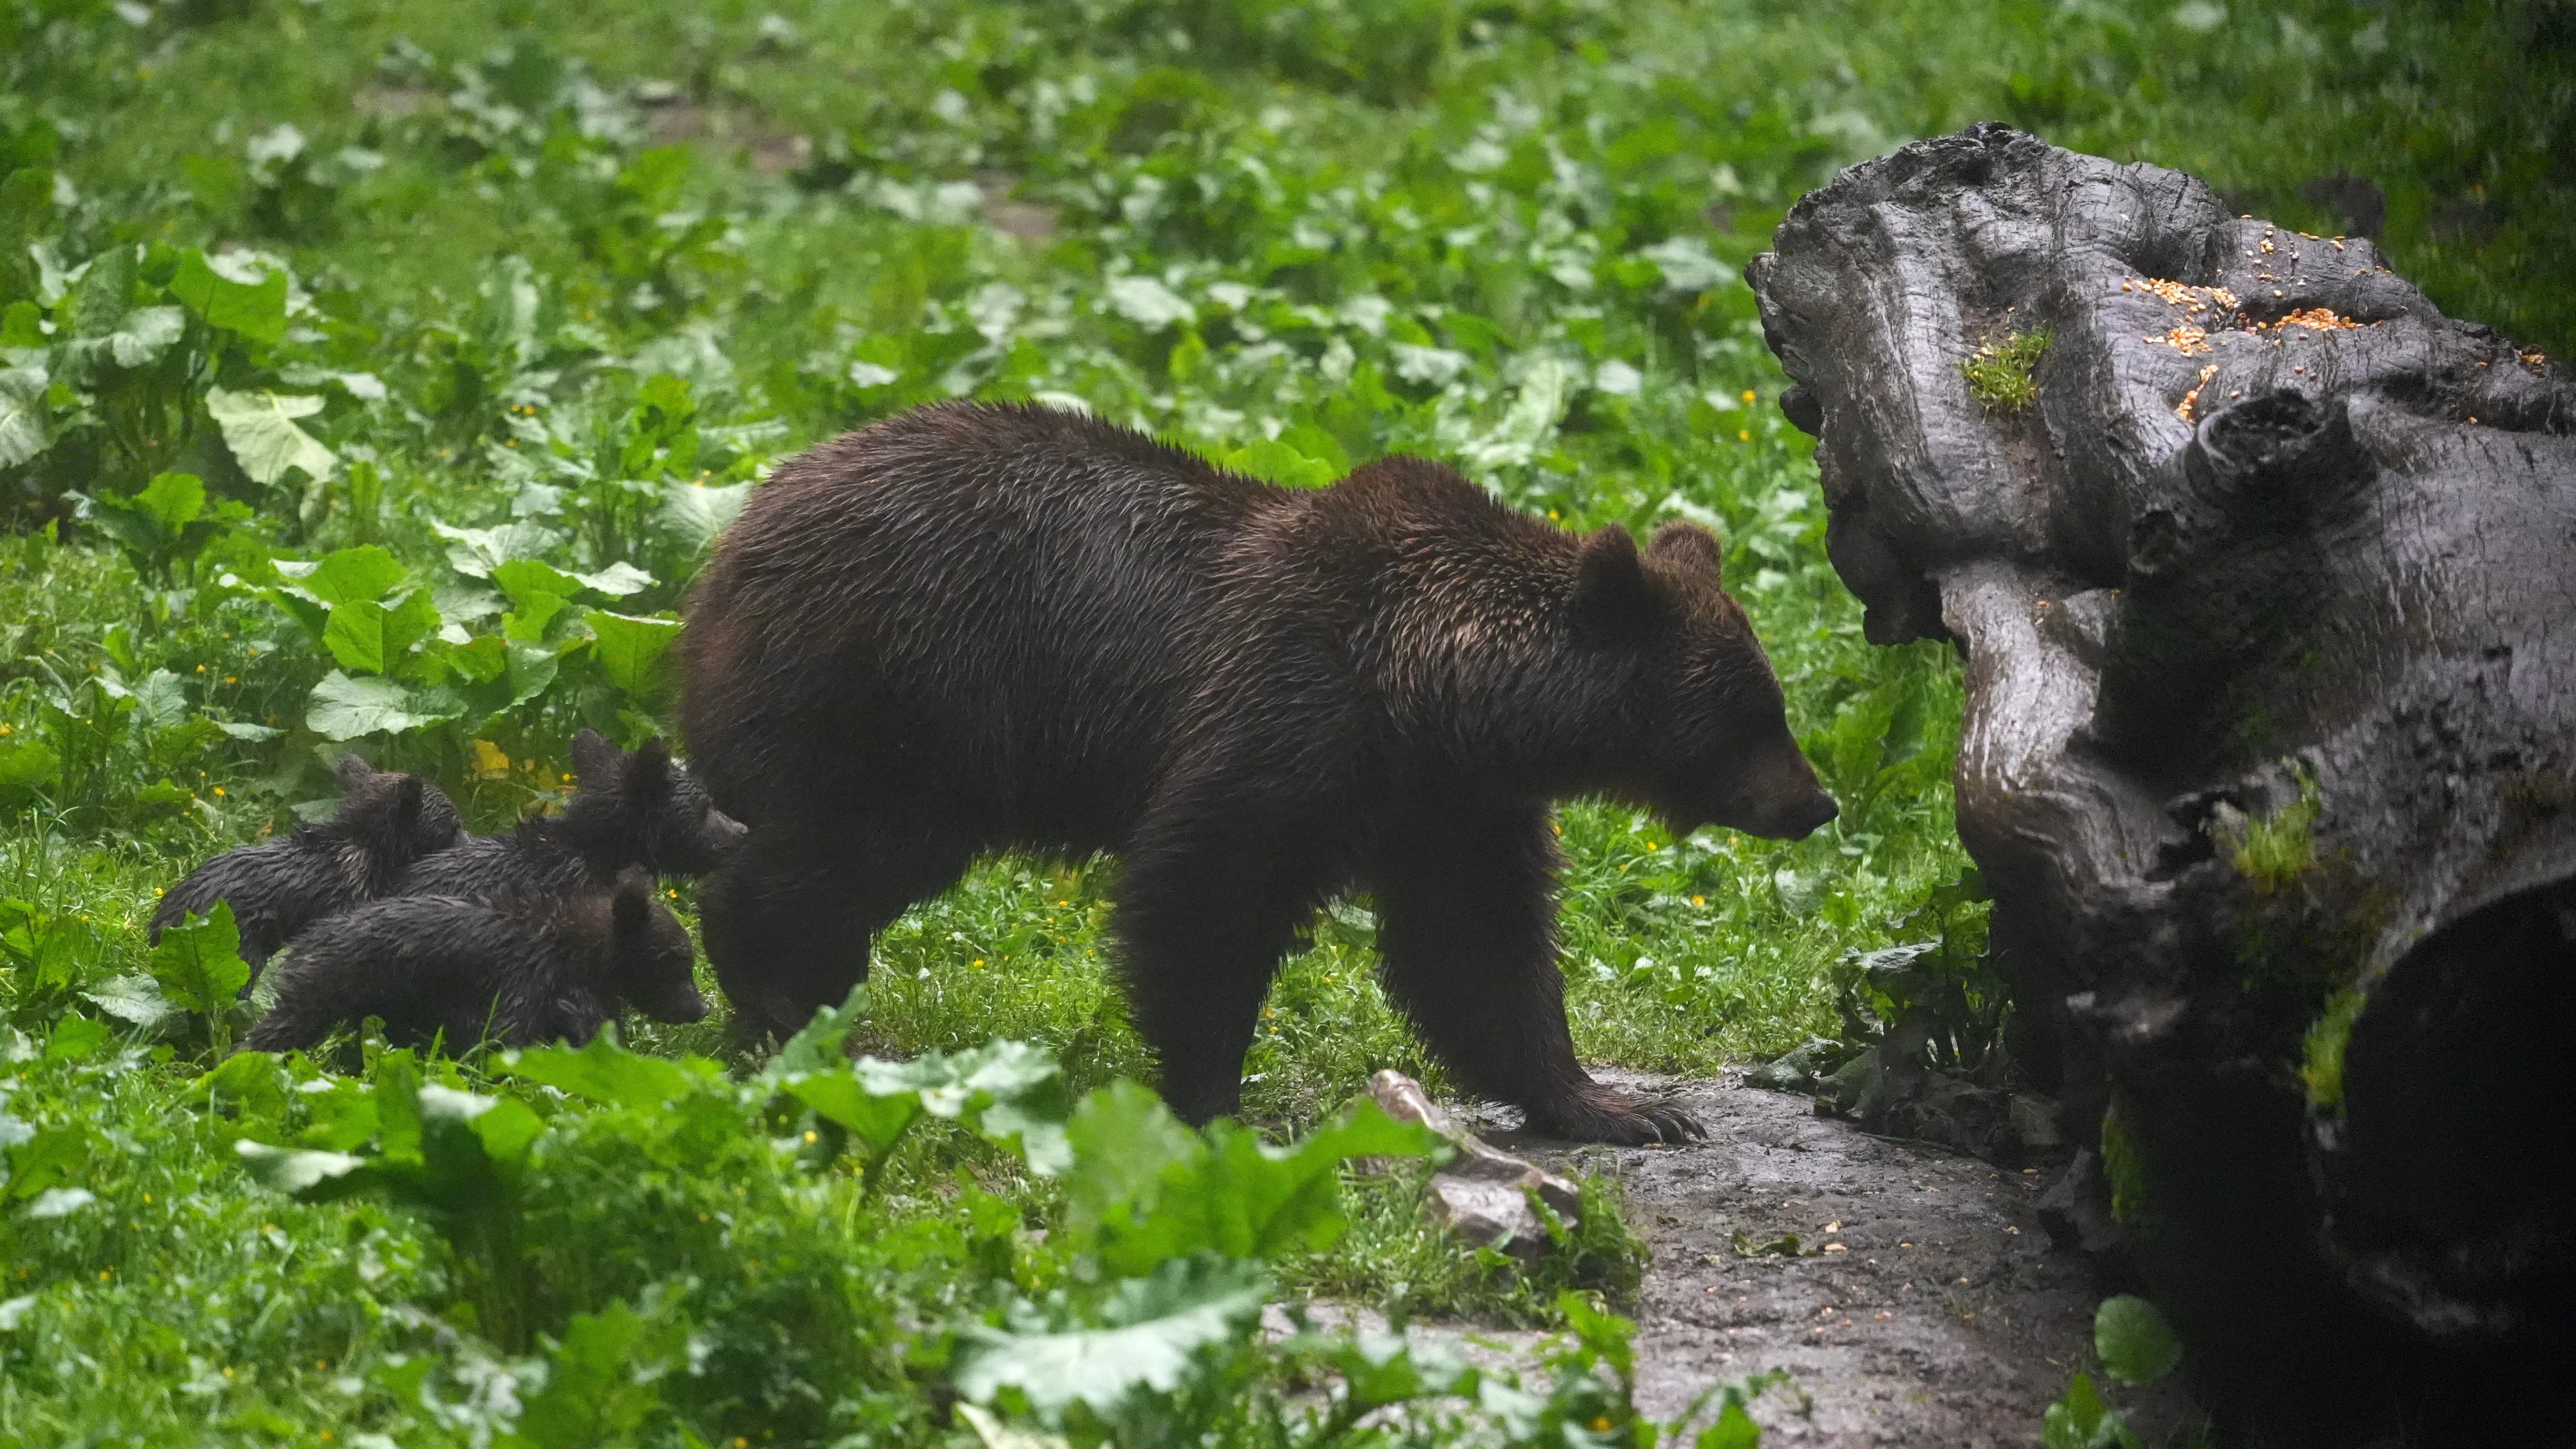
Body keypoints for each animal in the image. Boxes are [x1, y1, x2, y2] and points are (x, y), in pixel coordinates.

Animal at [241, 866, 706, 1054]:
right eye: (677, 959)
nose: (699, 1008)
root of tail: (304, 939)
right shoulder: (522, 977)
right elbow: (500, 1037)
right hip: (332, 982)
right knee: (282, 1026)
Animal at [678, 401, 1837, 1144]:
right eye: (1750, 713)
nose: (1817, 801)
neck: (1436, 696)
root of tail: (733, 539)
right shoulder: (1288, 711)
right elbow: (1204, 892)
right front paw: (1211, 1100)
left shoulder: (1448, 804)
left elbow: (1482, 948)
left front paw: (1623, 1105)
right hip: (903, 696)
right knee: (835, 847)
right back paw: (776, 991)